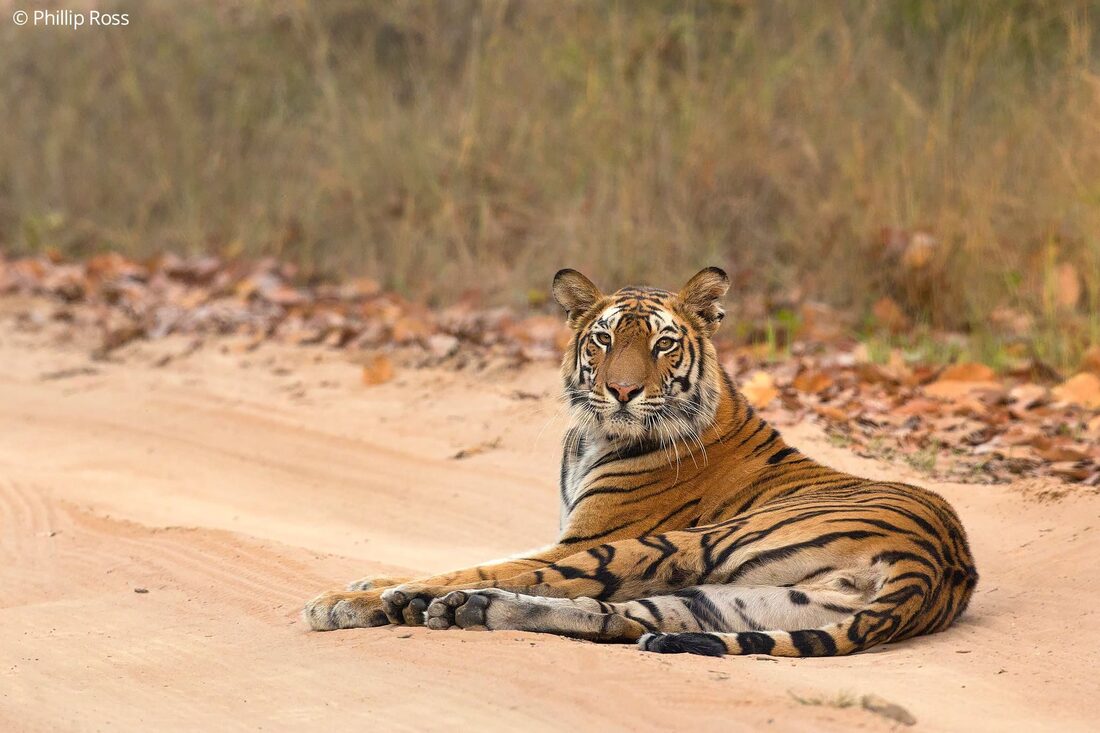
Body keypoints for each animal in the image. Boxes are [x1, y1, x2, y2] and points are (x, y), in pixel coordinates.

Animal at [304, 267, 979, 657]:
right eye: (603, 340)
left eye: (664, 344)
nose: (623, 391)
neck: (593, 435)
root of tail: (938, 564)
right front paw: (370, 582)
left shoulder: (583, 536)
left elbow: (491, 560)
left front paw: (358, 594)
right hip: (731, 599)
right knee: (613, 616)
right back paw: (463, 609)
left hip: (680, 545)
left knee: (550, 583)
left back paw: (415, 603)